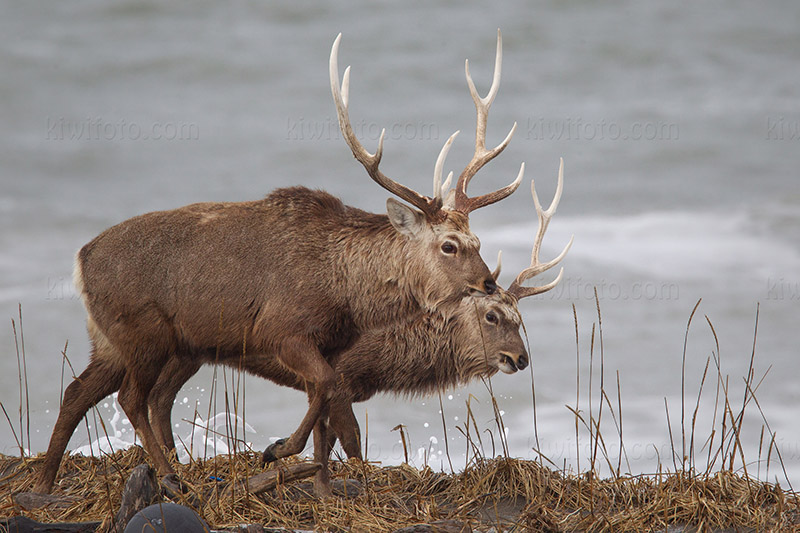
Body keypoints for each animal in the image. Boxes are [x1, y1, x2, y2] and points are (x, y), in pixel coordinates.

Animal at [34, 31, 524, 492]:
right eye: (449, 245)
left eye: (478, 240)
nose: (489, 284)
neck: (347, 290)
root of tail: (80, 260)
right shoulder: (282, 330)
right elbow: (330, 399)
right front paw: (277, 450)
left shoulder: (331, 347)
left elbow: (326, 411)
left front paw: (321, 486)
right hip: (143, 333)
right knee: (131, 399)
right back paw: (171, 477)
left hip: (119, 341)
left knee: (79, 391)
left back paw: (44, 482)